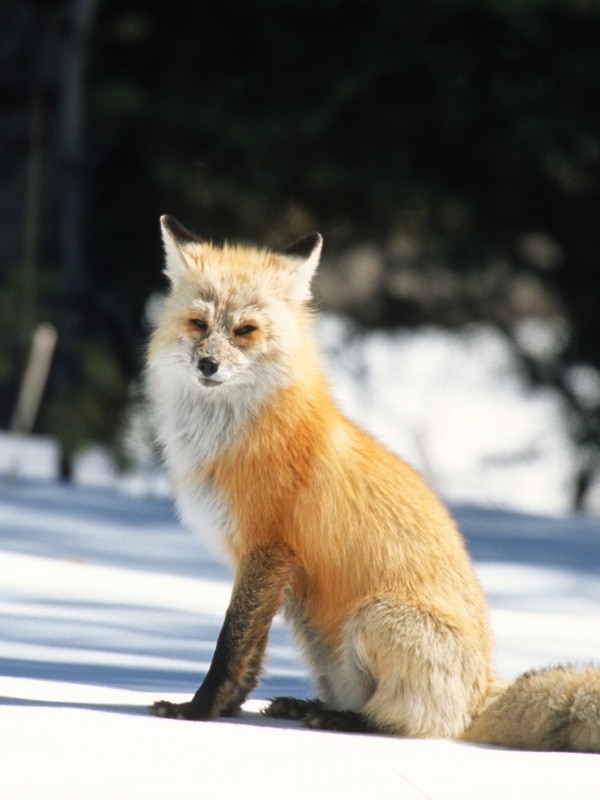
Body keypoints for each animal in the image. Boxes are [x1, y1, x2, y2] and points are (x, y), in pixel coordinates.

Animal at [146, 214, 600, 752]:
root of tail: (482, 692)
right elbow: (251, 655)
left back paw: (341, 719)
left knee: (412, 724)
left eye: (245, 331)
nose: (208, 365)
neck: (232, 438)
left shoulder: (267, 551)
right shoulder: (264, 566)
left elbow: (229, 646)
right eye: (198, 325)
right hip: (317, 636)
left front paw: (196, 712)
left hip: (372, 616)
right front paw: (227, 711)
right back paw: (307, 705)